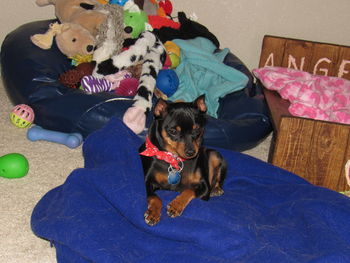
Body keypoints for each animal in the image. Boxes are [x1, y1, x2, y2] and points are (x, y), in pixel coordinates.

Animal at [139, 95, 227, 227]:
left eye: (197, 130)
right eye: (173, 131)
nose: (191, 152)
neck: (175, 159)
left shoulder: (205, 187)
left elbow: (189, 190)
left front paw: (176, 206)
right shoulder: (149, 183)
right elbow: (155, 197)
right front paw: (153, 213)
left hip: (215, 155)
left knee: (218, 179)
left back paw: (216, 189)